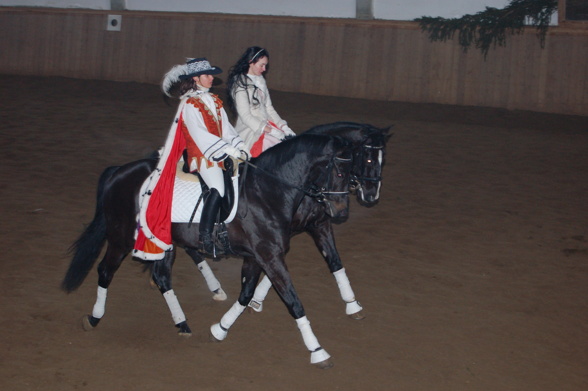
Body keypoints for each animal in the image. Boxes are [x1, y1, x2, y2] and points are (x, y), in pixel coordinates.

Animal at [61, 133, 352, 370]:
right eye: (339, 172)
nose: (340, 212)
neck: (267, 191)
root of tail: (119, 172)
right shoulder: (269, 256)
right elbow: (293, 301)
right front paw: (317, 351)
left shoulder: (256, 256)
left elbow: (246, 293)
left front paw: (220, 329)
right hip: (121, 239)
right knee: (105, 271)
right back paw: (94, 318)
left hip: (163, 243)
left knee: (162, 277)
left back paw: (182, 323)